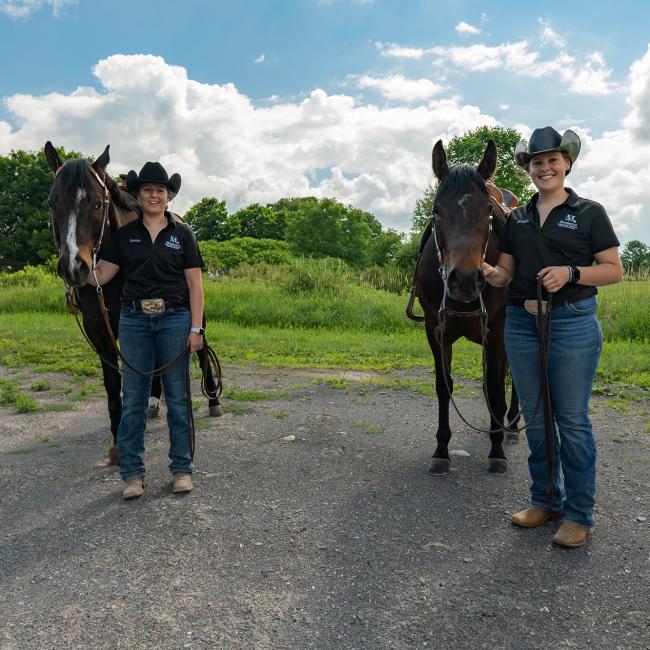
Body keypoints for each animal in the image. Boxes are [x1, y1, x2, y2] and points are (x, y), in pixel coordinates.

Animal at [416, 139, 516, 474]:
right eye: (437, 210)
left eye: (487, 210)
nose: (465, 280)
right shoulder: (436, 329)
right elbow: (443, 386)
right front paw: (441, 450)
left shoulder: (497, 332)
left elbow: (495, 387)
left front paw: (497, 452)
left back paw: (511, 427)